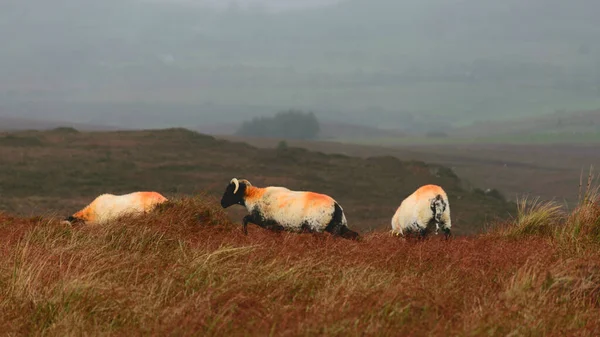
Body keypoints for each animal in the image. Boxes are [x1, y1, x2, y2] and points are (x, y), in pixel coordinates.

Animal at [221, 176, 358, 239]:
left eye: (229, 190)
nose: (222, 203)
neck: (254, 196)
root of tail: (336, 206)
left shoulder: (264, 222)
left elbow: (245, 219)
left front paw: (245, 234)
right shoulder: (276, 228)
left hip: (317, 229)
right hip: (337, 227)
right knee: (355, 235)